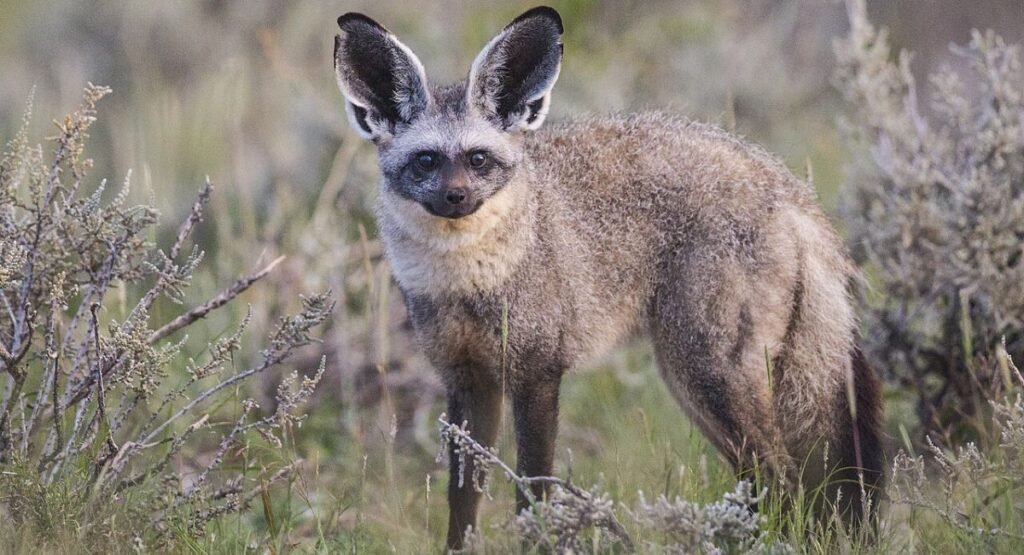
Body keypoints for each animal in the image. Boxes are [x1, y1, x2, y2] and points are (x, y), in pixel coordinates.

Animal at [333, 6, 883, 549]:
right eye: (426, 160)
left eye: (478, 159)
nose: (456, 197)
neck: (468, 283)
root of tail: (786, 185)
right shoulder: (468, 380)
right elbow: (463, 503)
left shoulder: (537, 374)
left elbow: (532, 493)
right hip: (697, 385)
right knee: (766, 483)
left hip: (707, 374)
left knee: (782, 478)